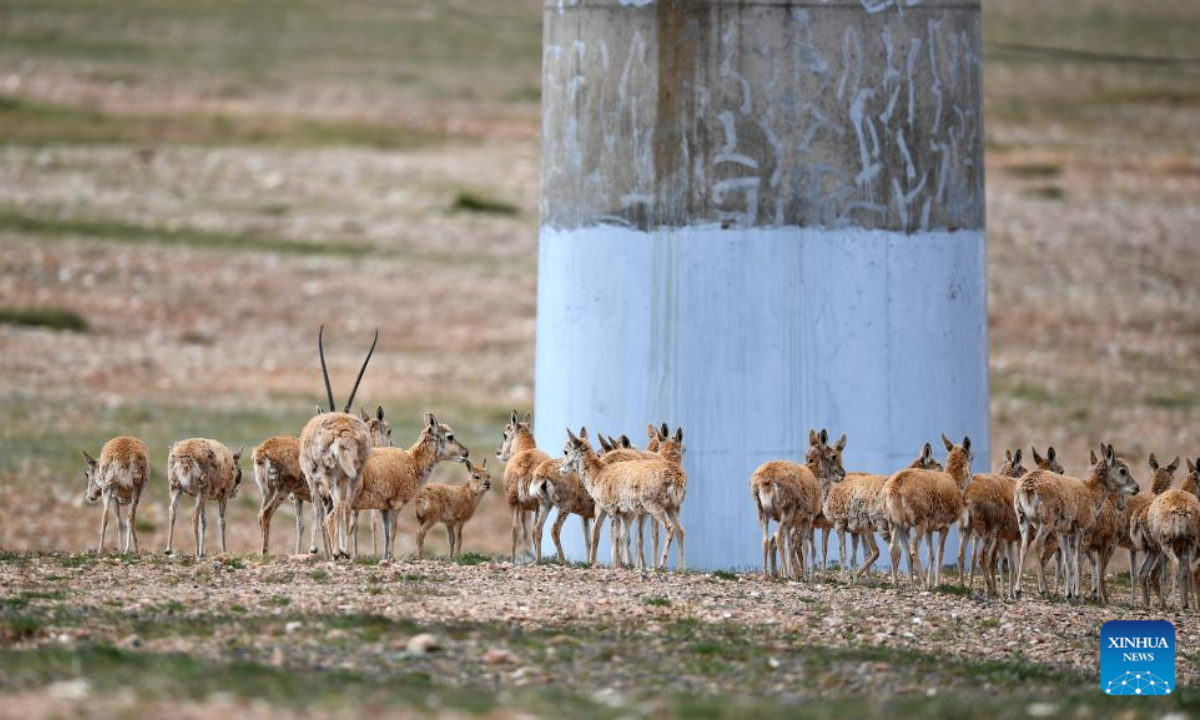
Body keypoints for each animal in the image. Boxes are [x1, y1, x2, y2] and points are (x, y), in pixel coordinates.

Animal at [297, 324, 376, 559]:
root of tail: (344, 433)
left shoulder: (312, 479)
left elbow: (317, 509)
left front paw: (314, 548)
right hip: (352, 476)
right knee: (346, 504)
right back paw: (344, 550)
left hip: (329, 475)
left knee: (337, 505)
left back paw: (336, 551)